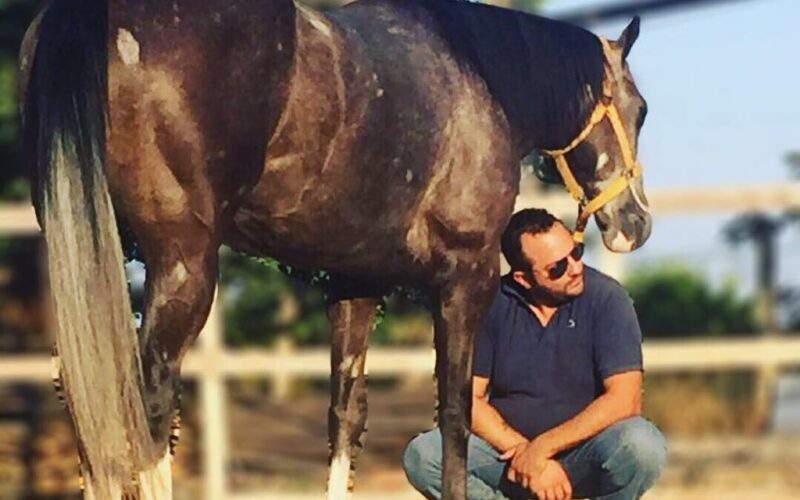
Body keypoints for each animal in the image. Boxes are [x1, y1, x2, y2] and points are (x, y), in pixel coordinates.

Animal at [19, 0, 651, 497]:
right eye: (640, 109)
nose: (635, 224)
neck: (475, 74)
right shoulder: (465, 281)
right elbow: (455, 415)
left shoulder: (355, 285)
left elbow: (345, 416)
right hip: (181, 265)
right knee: (145, 407)